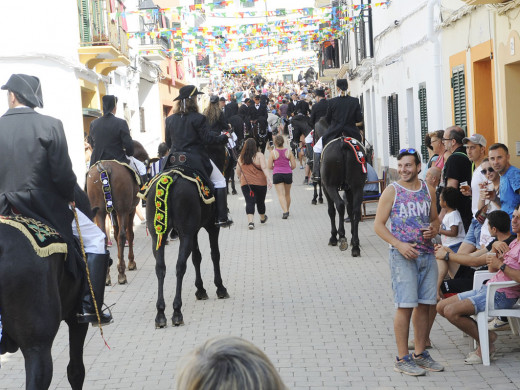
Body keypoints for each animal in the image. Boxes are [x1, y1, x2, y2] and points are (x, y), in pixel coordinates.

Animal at [145, 169, 229, 328]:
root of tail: (171, 177)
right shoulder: (211, 227)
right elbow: (215, 254)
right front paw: (220, 287)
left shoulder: (194, 232)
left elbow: (197, 258)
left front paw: (200, 289)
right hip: (186, 235)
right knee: (180, 267)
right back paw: (177, 311)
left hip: (157, 237)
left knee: (160, 268)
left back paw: (160, 314)